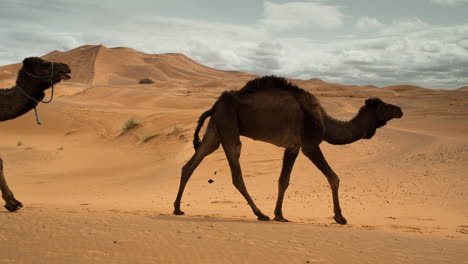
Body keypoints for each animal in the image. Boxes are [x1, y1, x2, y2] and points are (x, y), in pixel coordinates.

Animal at [174, 75, 404, 224]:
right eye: (385, 106)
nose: (400, 110)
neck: (324, 120)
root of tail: (214, 106)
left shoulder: (293, 146)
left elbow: (283, 180)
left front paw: (280, 214)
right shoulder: (310, 144)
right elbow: (333, 177)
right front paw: (340, 217)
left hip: (215, 129)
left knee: (191, 164)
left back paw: (177, 208)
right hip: (228, 125)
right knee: (236, 172)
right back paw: (260, 214)